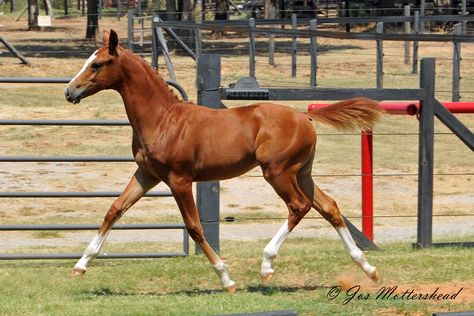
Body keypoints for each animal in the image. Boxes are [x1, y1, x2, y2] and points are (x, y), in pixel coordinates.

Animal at [64, 29, 382, 292]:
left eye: (96, 64)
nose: (70, 91)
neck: (163, 119)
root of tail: (304, 117)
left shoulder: (179, 180)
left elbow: (194, 227)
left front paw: (226, 278)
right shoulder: (147, 175)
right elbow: (114, 210)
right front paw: (80, 265)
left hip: (277, 173)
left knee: (299, 206)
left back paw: (267, 265)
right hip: (302, 173)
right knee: (329, 208)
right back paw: (368, 268)